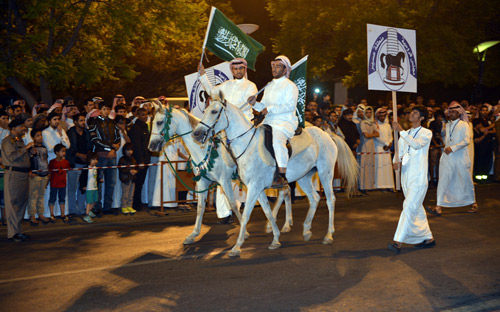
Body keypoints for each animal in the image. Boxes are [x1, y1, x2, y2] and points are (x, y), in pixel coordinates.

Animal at [146, 106, 292, 245]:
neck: (205, 150)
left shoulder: (225, 181)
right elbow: (200, 207)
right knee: (286, 191)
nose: (151, 146)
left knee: (284, 192)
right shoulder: (202, 182)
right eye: (152, 122)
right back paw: (283, 225)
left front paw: (244, 232)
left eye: (159, 122)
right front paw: (193, 234)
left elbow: (233, 204)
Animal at [192, 97, 360, 256]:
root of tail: (328, 134)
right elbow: (267, 212)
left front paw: (236, 247)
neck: (247, 145)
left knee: (330, 200)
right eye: (205, 110)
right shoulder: (258, 189)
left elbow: (246, 216)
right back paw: (306, 230)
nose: (196, 134)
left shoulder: (254, 188)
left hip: (326, 173)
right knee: (314, 198)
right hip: (304, 177)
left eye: (214, 111)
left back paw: (328, 235)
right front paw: (276, 239)